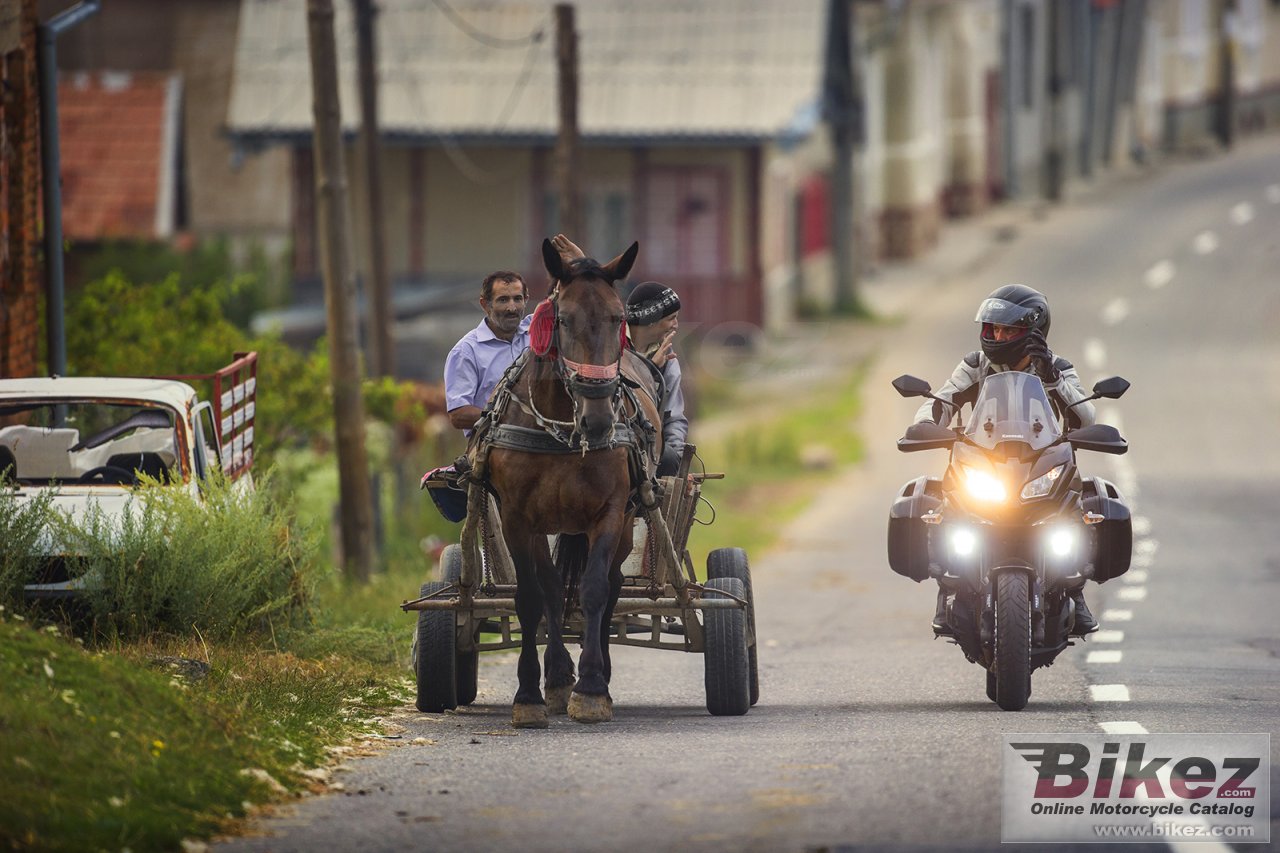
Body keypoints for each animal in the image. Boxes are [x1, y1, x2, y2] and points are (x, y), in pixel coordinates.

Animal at [481, 236, 660, 722]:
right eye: (563, 319)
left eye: (618, 318)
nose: (598, 420)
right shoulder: (517, 518)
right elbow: (531, 597)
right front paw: (528, 695)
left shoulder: (610, 512)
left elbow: (595, 589)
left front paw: (593, 689)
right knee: (550, 586)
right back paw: (558, 677)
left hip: (624, 521)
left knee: (611, 585)